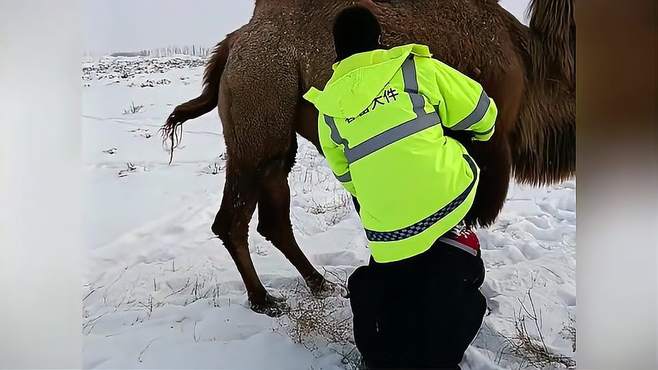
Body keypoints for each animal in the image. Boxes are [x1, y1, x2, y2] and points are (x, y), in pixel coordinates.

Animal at [160, 0, 576, 318]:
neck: (531, 62)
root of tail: (234, 42)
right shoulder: (489, 143)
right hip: (259, 106)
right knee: (233, 217)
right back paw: (265, 300)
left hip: (275, 129)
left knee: (273, 211)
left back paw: (320, 283)